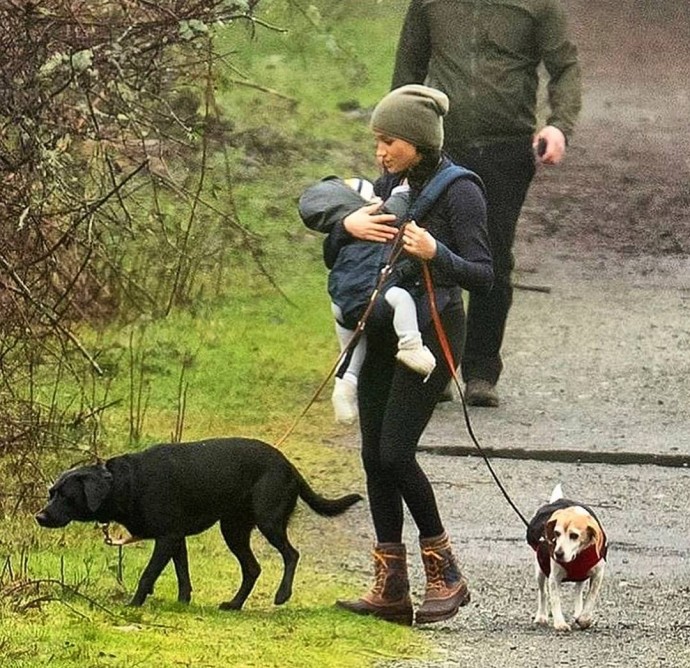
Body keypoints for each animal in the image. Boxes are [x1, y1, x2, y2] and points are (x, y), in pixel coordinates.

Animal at [34, 438, 360, 612]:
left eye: (66, 496)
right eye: (51, 493)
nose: (40, 516)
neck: (122, 483)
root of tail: (289, 465)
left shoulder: (167, 538)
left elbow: (148, 574)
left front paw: (134, 604)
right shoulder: (177, 538)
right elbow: (182, 575)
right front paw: (183, 602)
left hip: (268, 521)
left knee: (291, 554)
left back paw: (282, 595)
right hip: (233, 529)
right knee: (252, 568)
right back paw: (234, 604)